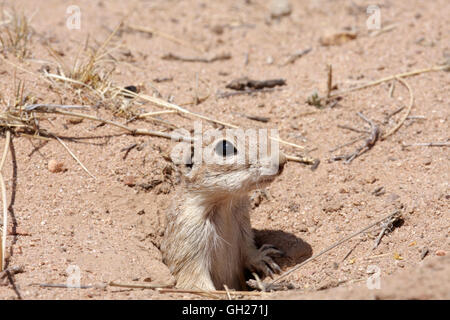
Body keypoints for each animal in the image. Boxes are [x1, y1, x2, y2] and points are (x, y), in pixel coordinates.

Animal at [162, 130, 286, 290]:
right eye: (225, 148)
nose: (282, 160)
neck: (225, 205)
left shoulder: (243, 225)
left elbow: (248, 251)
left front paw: (264, 258)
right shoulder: (189, 234)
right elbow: (192, 279)